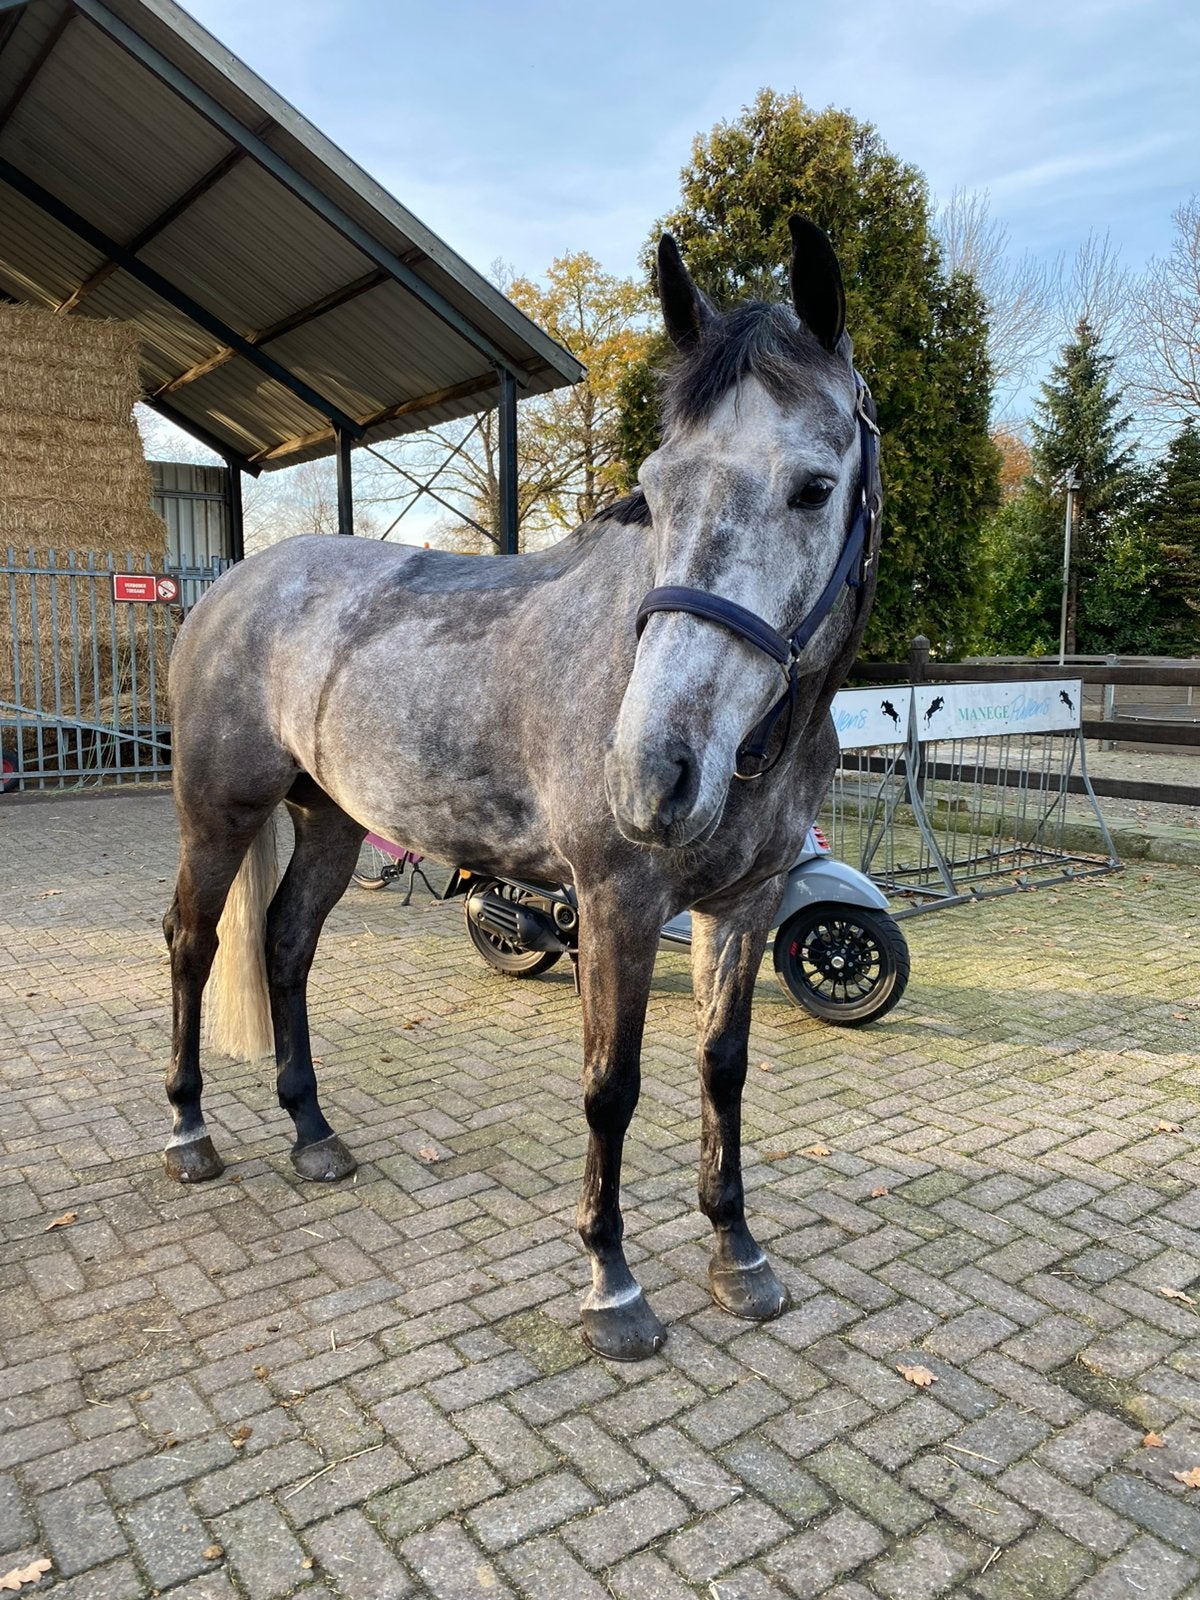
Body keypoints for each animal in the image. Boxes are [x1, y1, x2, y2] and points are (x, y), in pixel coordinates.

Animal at [162, 216, 882, 1361]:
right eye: (656, 488)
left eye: (814, 485)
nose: (652, 771)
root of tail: (233, 585)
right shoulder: (617, 905)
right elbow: (610, 1087)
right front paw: (612, 1286)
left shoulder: (747, 904)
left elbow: (722, 1067)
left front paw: (739, 1255)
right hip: (217, 815)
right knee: (193, 945)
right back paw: (189, 1132)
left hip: (331, 825)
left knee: (285, 945)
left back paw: (313, 1133)